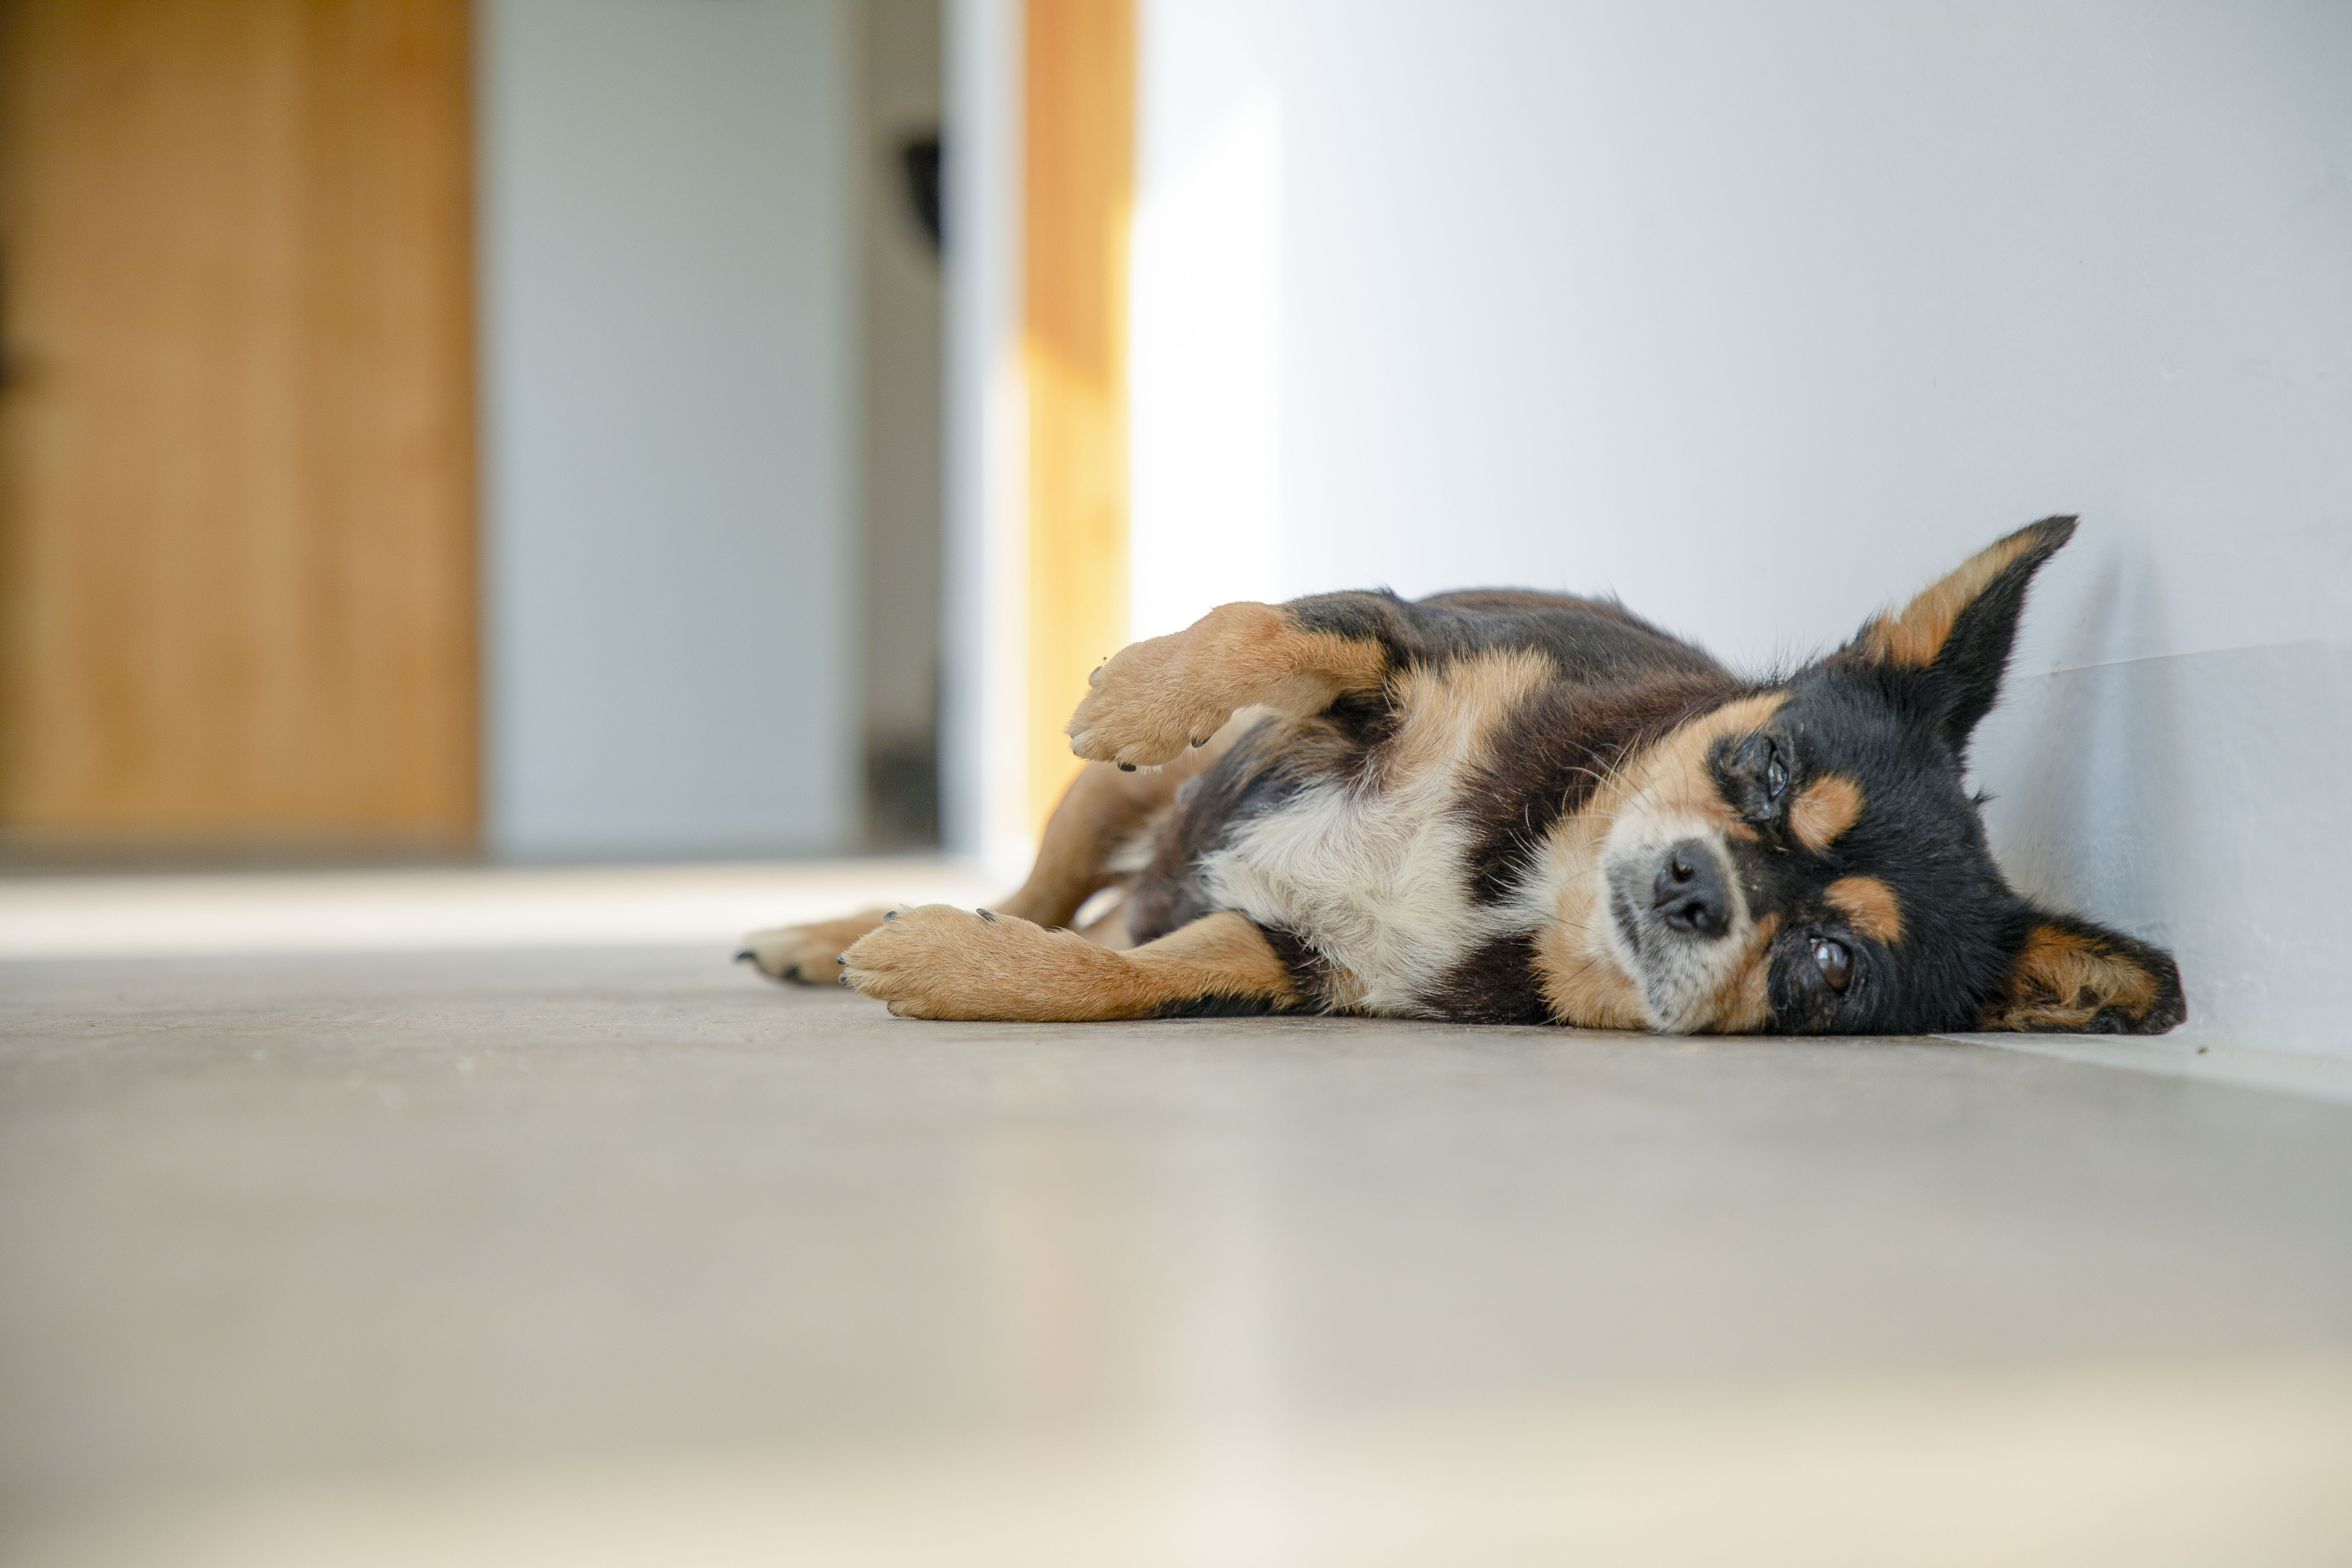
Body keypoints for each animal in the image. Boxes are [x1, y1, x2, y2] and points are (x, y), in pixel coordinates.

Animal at [738, 517, 2183, 1044]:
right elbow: (1264, 628)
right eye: (1767, 768)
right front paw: (1141, 692)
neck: (1523, 874)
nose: (1695, 887)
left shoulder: (1281, 959)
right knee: (1046, 886)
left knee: (1074, 919)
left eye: (1833, 968)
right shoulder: (1396, 645)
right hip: (1111, 806)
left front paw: (944, 965)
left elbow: (1106, 977)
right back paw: (823, 929)